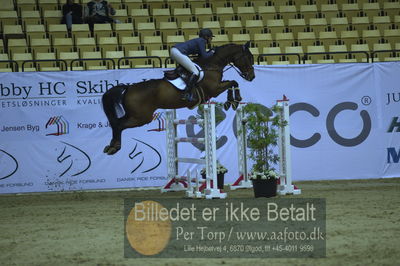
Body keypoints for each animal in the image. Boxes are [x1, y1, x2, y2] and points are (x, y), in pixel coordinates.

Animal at [101, 41, 255, 154]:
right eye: (248, 58)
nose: (252, 77)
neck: (211, 65)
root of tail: (128, 88)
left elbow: (233, 82)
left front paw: (232, 101)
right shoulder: (215, 89)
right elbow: (233, 82)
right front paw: (233, 100)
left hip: (134, 115)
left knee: (116, 123)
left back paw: (111, 146)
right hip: (141, 117)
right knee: (119, 125)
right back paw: (114, 147)